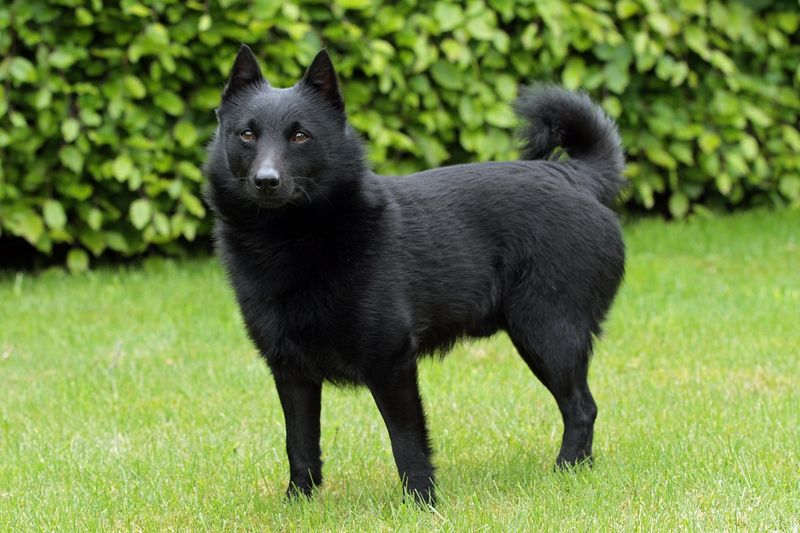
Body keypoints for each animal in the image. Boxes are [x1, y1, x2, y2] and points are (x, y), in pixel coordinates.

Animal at [205, 44, 624, 502]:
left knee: (582, 407)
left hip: (549, 336)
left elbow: (406, 440)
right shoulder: (290, 370)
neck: (293, 241)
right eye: (247, 134)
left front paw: (421, 501)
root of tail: (575, 176)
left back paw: (567, 471)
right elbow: (299, 442)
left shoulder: (391, 362)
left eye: (300, 136)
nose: (267, 180)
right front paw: (299, 501)